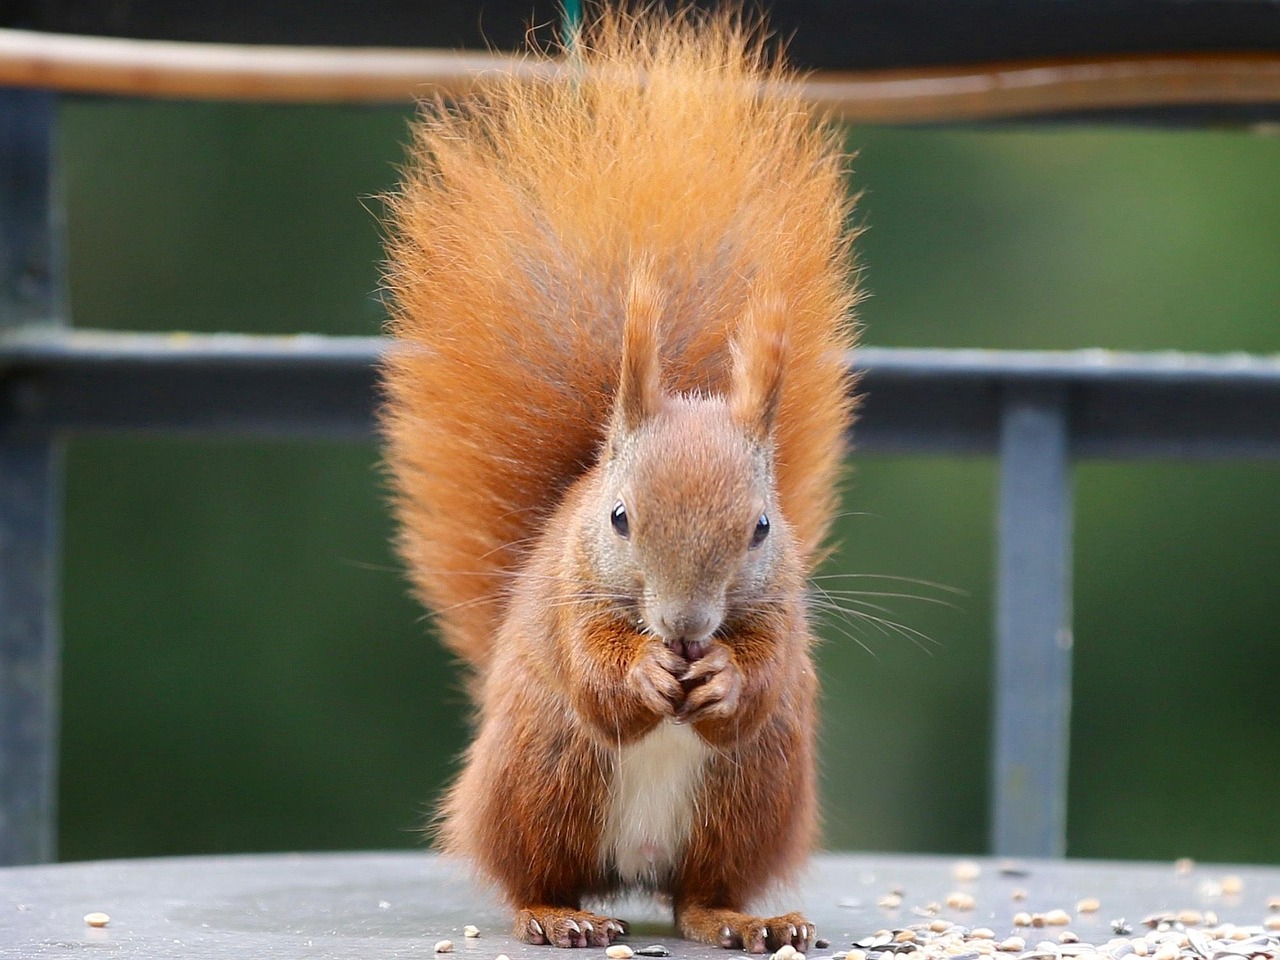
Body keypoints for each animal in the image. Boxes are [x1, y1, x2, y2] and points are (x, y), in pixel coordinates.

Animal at [379, 7, 859, 953]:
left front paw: (723, 678)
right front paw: (641, 676)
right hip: (542, 776)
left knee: (699, 891)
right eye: (619, 518)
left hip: (749, 795)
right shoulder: (571, 598)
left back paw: (744, 919)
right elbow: (597, 676)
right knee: (531, 871)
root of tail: (631, 869)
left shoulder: (780, 609)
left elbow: (761, 680)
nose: (685, 630)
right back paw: (557, 915)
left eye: (761, 527)